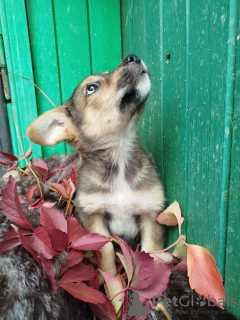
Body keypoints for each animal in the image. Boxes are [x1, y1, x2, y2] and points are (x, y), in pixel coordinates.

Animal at [26, 55, 165, 278]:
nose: (132, 57)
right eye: (91, 87)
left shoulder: (151, 214)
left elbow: (151, 254)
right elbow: (105, 248)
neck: (119, 158)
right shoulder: (93, 216)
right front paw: (107, 277)